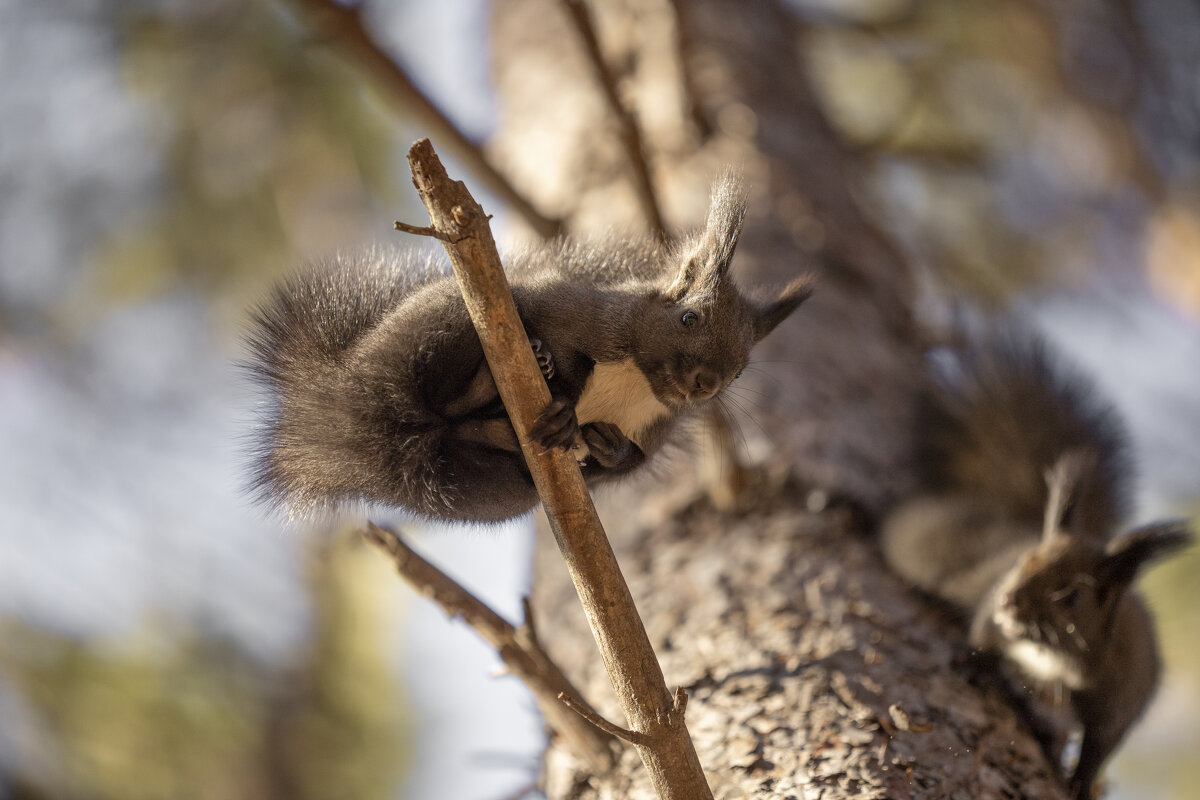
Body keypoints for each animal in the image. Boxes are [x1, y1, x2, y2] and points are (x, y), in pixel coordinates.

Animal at [244, 175, 811, 522]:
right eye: (689, 317)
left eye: (741, 373)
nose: (706, 385)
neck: (637, 380)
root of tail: (339, 406)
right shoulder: (578, 310)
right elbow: (554, 328)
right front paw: (561, 387)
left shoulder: (656, 424)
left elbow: (626, 465)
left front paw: (611, 449)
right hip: (438, 326)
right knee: (438, 384)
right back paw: (514, 377)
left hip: (485, 489)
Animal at [883, 323, 1190, 800]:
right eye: (1022, 561)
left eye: (1072, 596)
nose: (1009, 602)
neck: (1053, 653)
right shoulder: (991, 606)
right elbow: (982, 633)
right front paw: (975, 660)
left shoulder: (1125, 690)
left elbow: (1102, 743)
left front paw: (1081, 781)